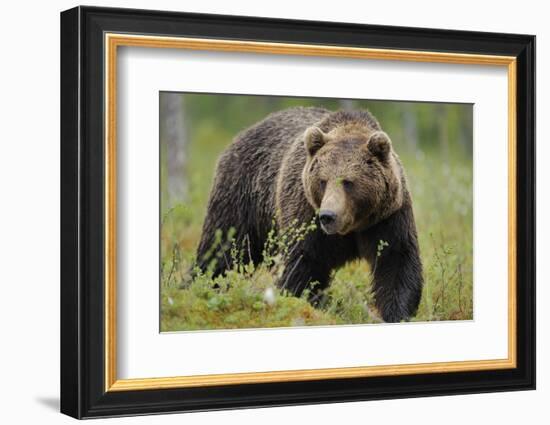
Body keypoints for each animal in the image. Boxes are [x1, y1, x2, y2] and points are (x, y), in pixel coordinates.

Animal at [196, 106, 424, 322]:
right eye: (323, 181)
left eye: (348, 182)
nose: (328, 216)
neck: (352, 227)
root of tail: (244, 132)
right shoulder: (305, 214)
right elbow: (303, 264)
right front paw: (310, 303)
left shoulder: (387, 218)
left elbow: (396, 261)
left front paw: (396, 313)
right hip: (242, 196)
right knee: (221, 249)